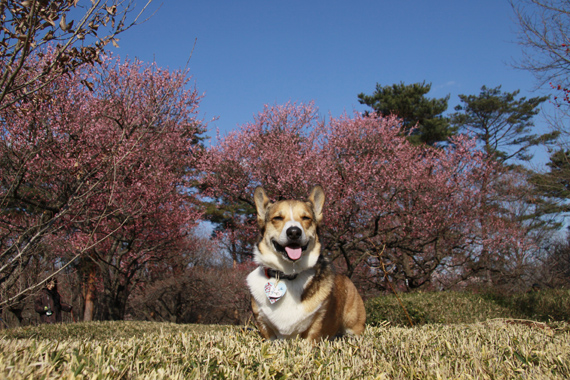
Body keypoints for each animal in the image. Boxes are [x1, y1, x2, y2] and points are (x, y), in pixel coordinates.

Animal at [246, 185, 366, 342]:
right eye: (277, 218)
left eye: (306, 218)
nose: (294, 232)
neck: (288, 274)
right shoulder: (263, 323)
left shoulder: (317, 321)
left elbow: (311, 336)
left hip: (353, 326)